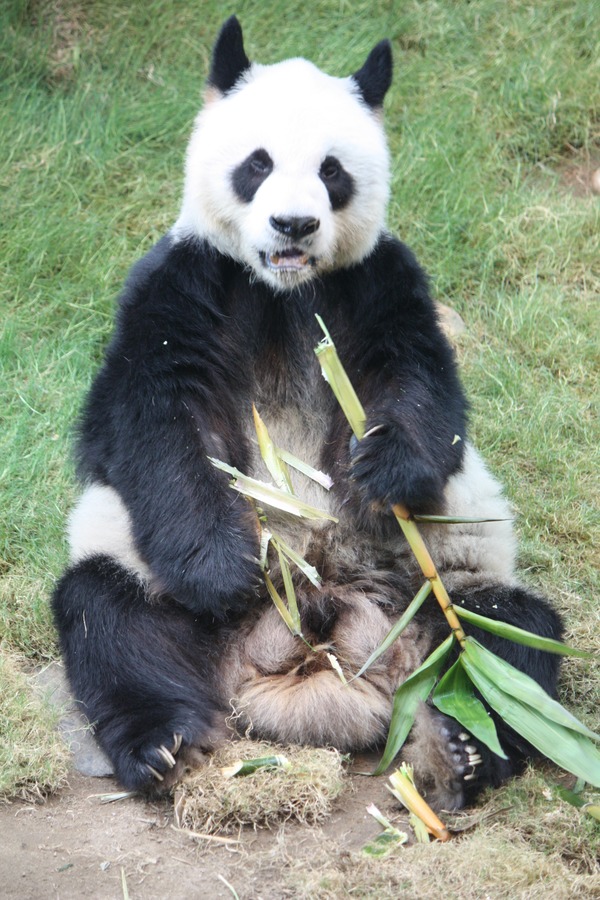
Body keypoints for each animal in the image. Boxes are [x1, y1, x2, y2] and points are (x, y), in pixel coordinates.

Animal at [51, 17, 564, 812]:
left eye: (332, 171)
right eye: (256, 164)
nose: (294, 224)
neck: (282, 291)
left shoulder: (377, 282)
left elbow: (423, 387)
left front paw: (380, 474)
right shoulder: (183, 283)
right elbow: (152, 424)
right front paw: (223, 567)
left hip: (441, 591)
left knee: (508, 639)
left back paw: (460, 750)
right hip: (147, 582)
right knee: (109, 621)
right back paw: (166, 746)